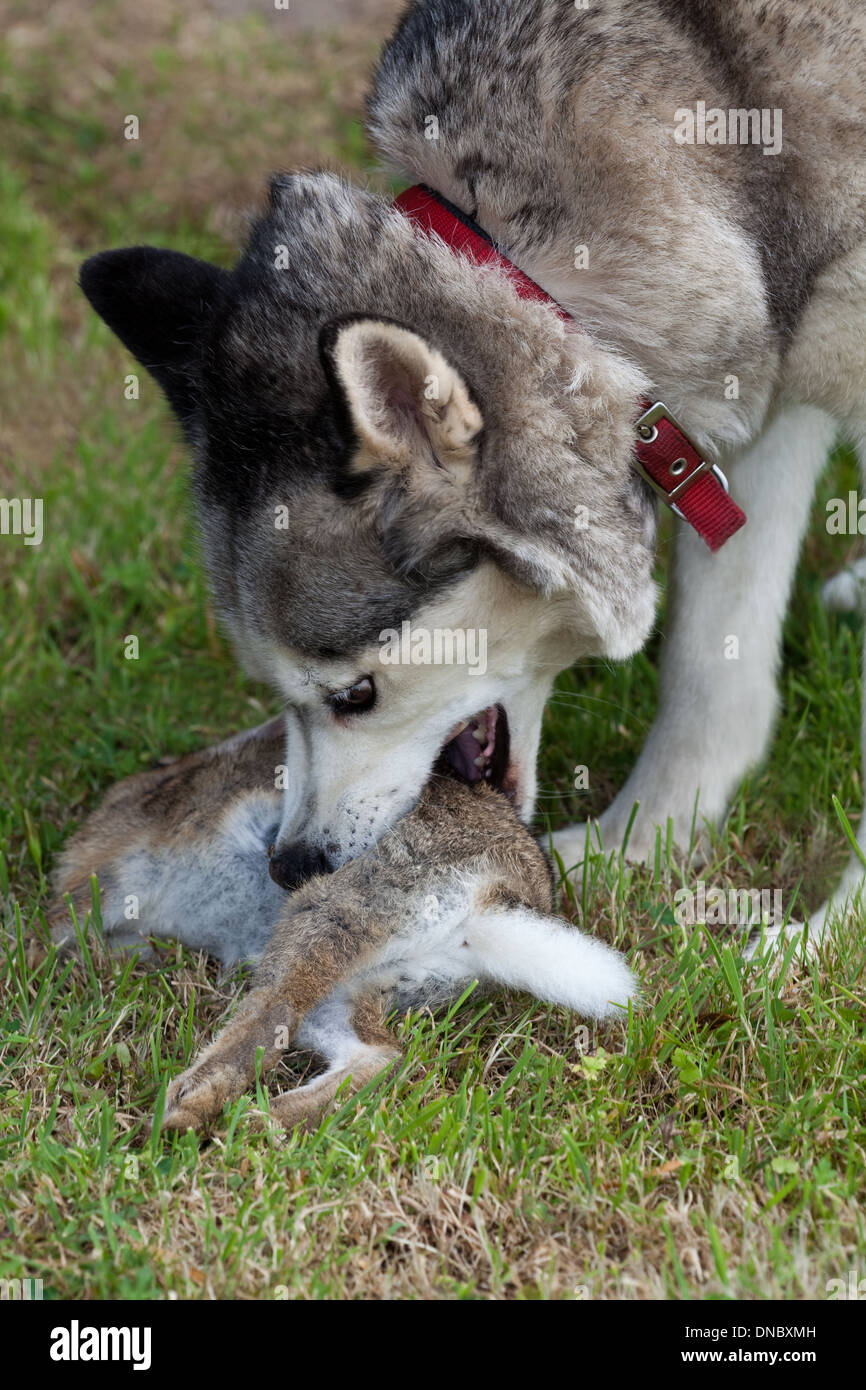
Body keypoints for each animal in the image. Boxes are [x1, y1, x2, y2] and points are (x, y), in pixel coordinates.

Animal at [48, 717, 636, 1128]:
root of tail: (496, 898)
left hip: (333, 914)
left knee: (272, 1016)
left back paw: (187, 1108)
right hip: (366, 981)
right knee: (380, 1057)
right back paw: (261, 1122)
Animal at [76, 0, 866, 950]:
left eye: (356, 694)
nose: (291, 865)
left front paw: (823, 945)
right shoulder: (757, 409)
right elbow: (710, 669)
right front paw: (639, 843)